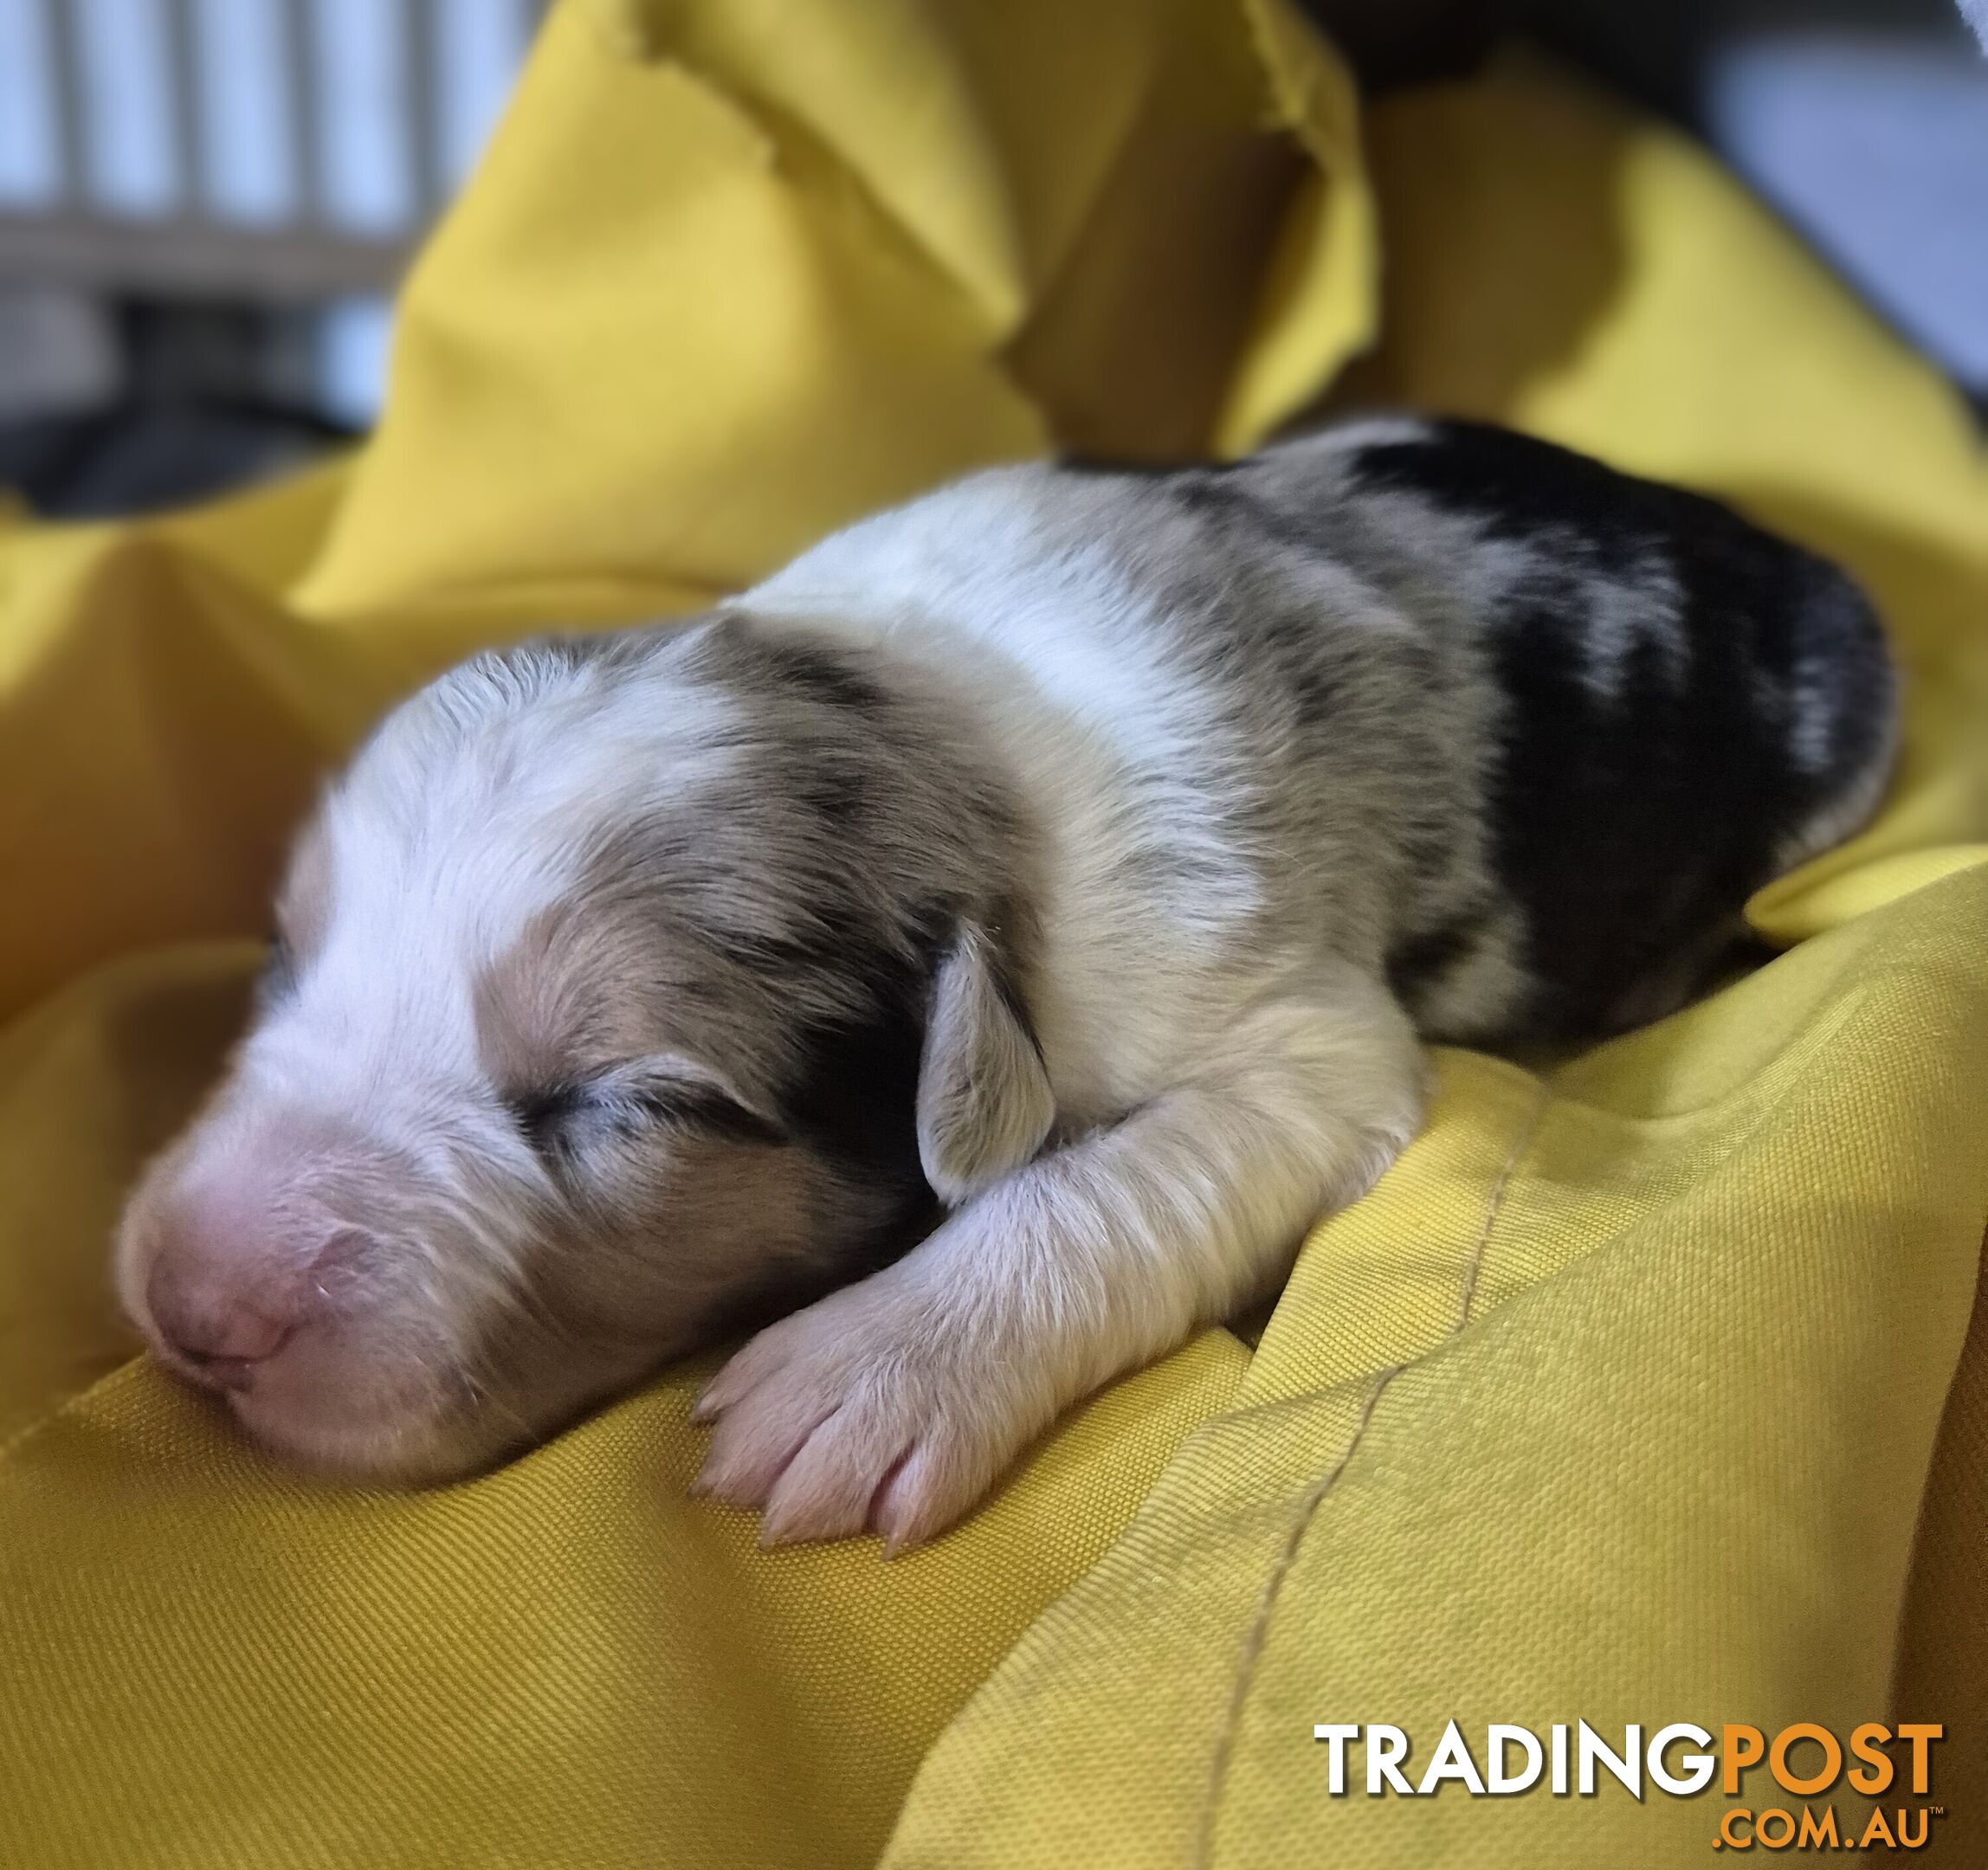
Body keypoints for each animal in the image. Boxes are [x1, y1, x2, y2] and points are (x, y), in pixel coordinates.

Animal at [113, 419, 1892, 1550]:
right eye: (285, 954)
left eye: (631, 1101)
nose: (193, 1311)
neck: (939, 722)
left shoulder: (1288, 1028)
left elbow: (1102, 1179)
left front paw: (856, 1381)